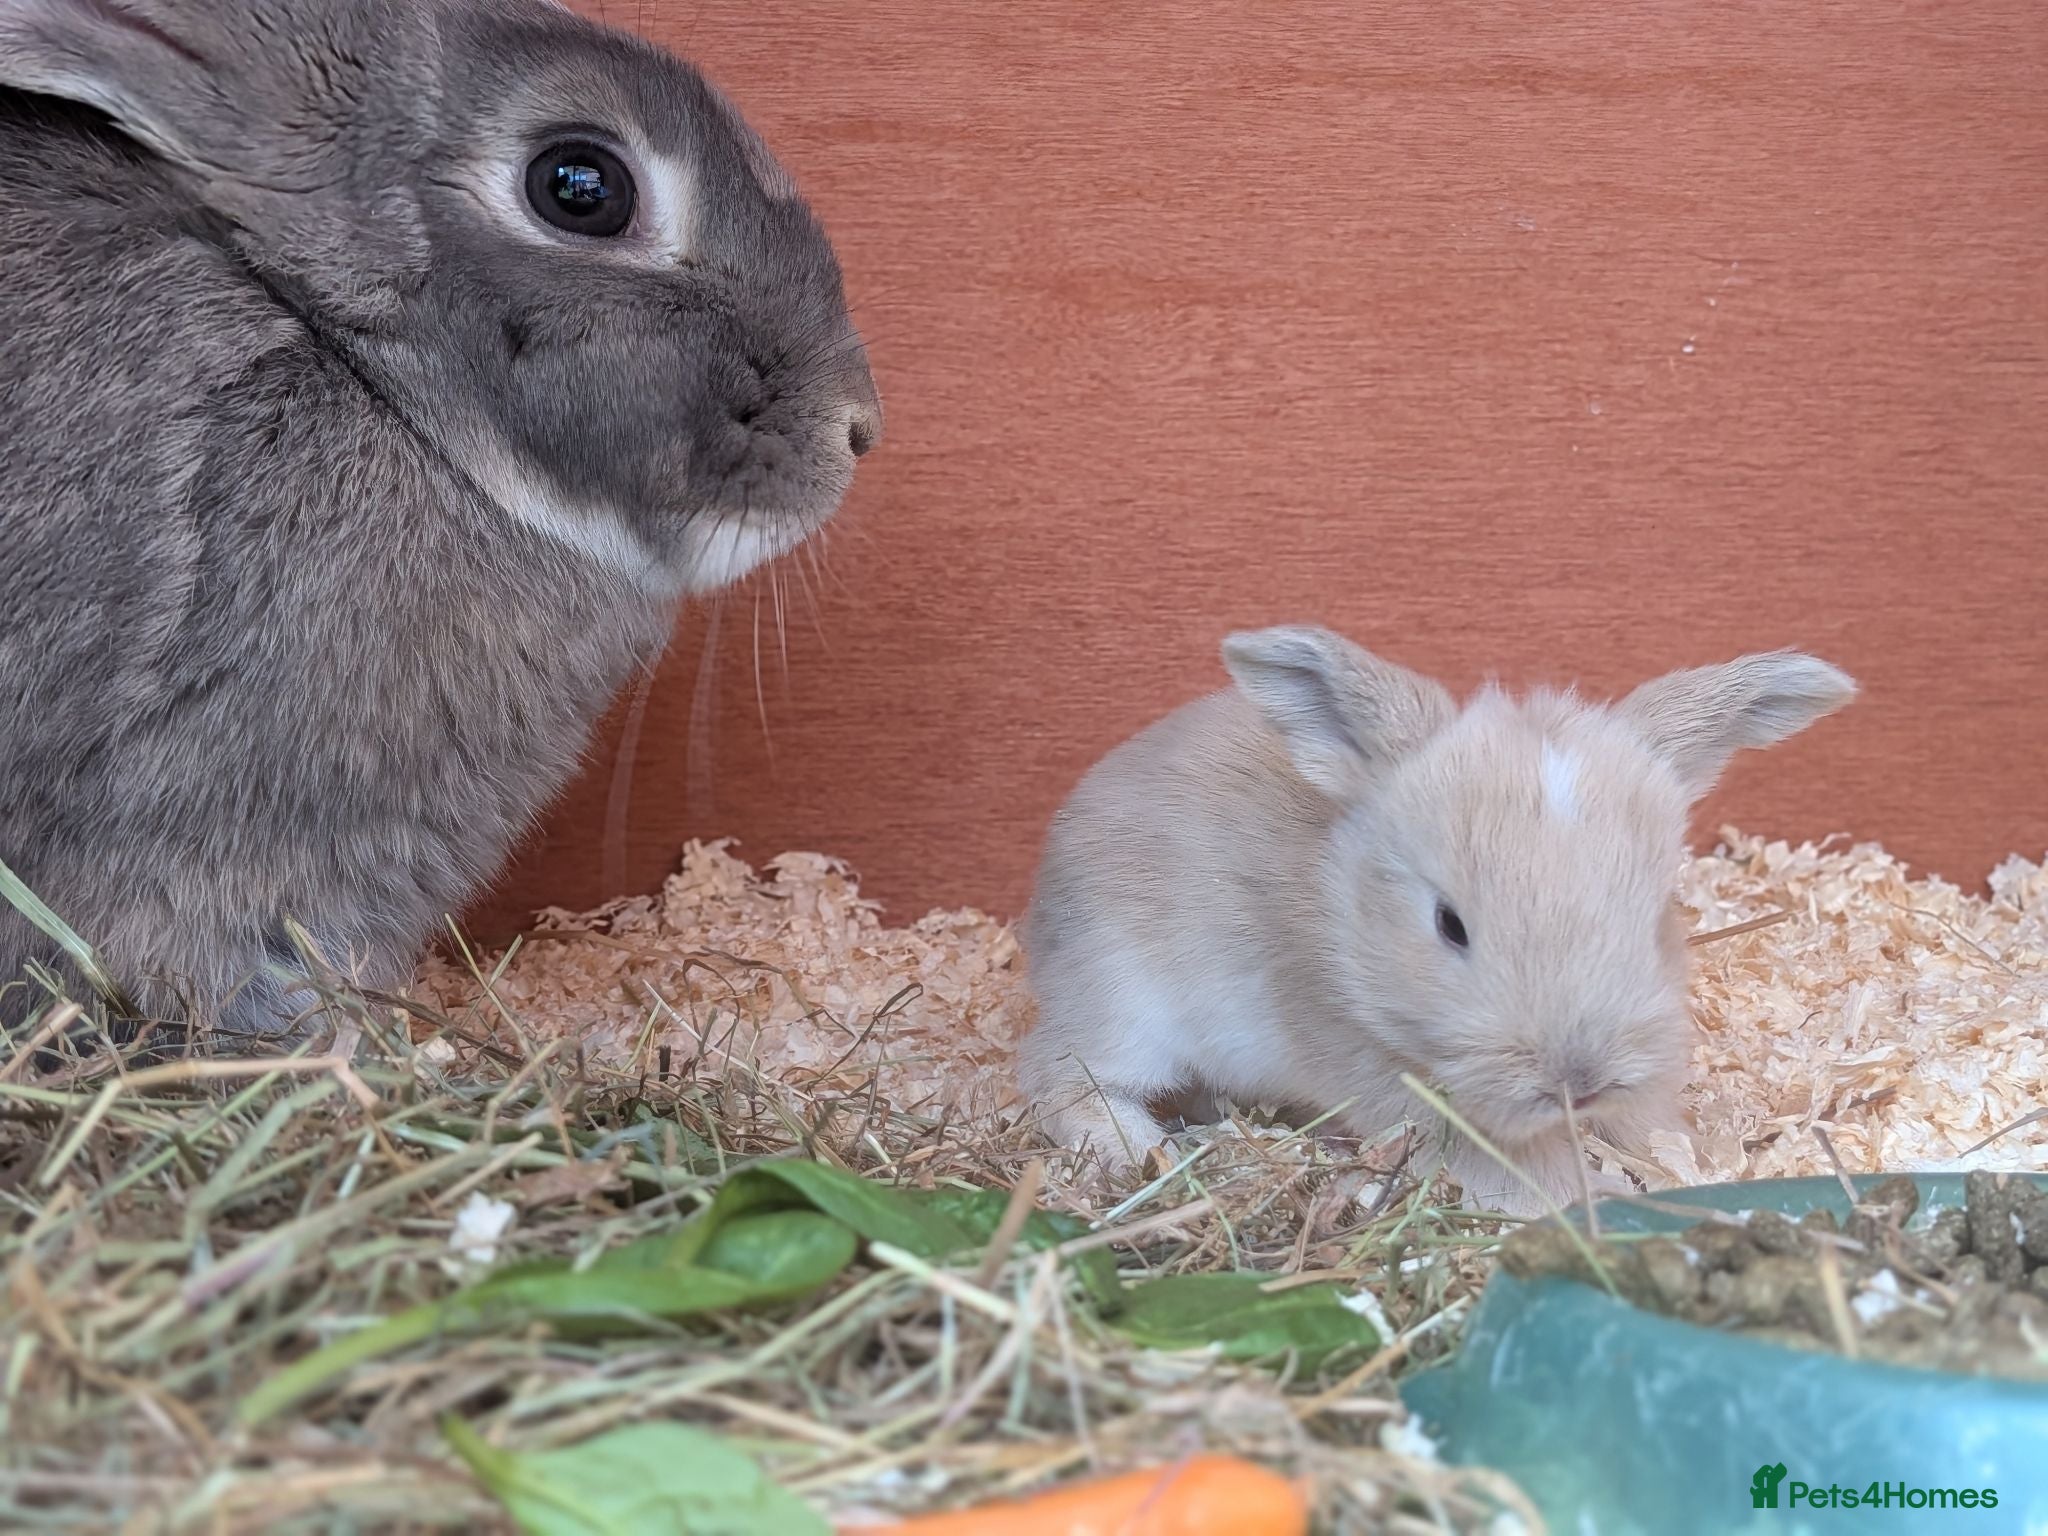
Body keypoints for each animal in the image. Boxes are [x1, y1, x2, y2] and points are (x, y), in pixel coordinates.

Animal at [1018, 627, 1856, 1214]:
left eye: (1654, 918)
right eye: (1450, 925)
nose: (1577, 1084)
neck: (1350, 917)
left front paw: (1683, 1165)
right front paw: (1589, 1197)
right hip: (1120, 1001)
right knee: (1058, 1078)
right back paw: (1141, 1151)